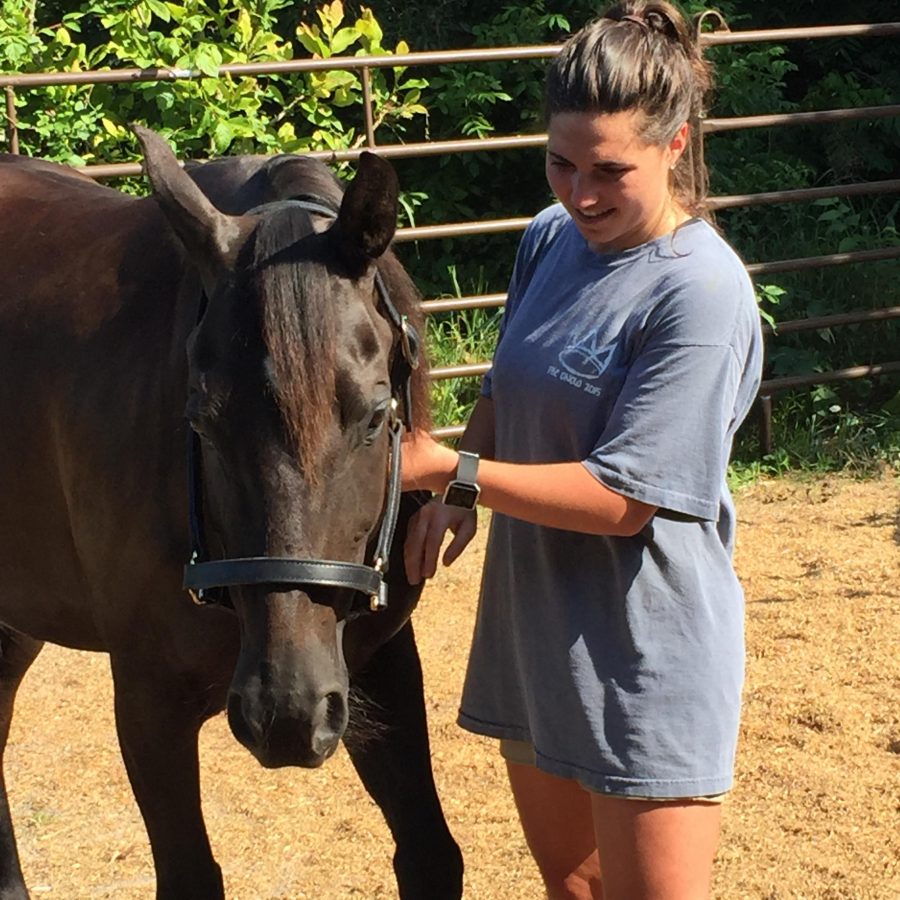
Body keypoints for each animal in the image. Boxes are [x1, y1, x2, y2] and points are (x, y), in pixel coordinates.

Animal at [0, 126, 463, 899]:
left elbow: (430, 854)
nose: (287, 713)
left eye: (376, 415)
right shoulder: (149, 701)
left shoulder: (380, 660)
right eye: (199, 419)